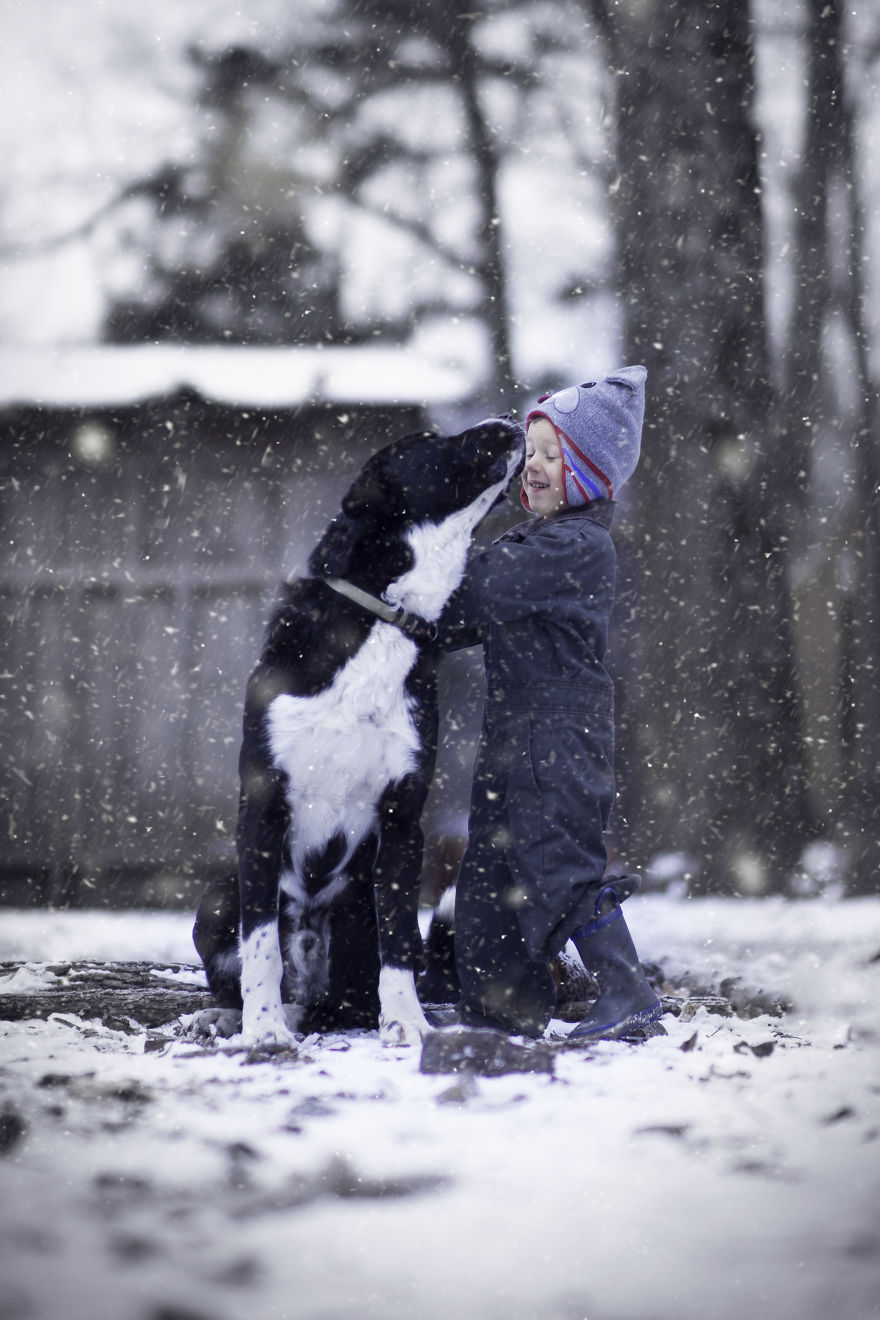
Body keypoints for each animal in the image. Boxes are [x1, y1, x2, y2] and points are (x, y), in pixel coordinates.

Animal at [192, 417, 522, 1045]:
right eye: (432, 444)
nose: (513, 419)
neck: (385, 614)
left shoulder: (403, 819)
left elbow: (396, 947)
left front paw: (409, 1023)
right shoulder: (262, 807)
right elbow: (260, 947)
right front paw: (263, 1029)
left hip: (354, 912)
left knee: (346, 1003)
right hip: (218, 896)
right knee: (267, 967)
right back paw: (230, 1015)